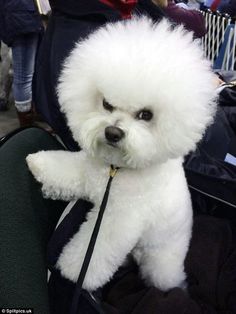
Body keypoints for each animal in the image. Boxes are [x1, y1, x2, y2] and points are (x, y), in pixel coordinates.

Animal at [26, 17, 217, 292]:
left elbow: (95, 251)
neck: (115, 171)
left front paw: (73, 272)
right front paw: (38, 163)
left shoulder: (119, 219)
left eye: (146, 115)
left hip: (161, 262)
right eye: (107, 104)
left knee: (165, 278)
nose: (113, 132)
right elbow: (65, 168)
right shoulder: (87, 174)